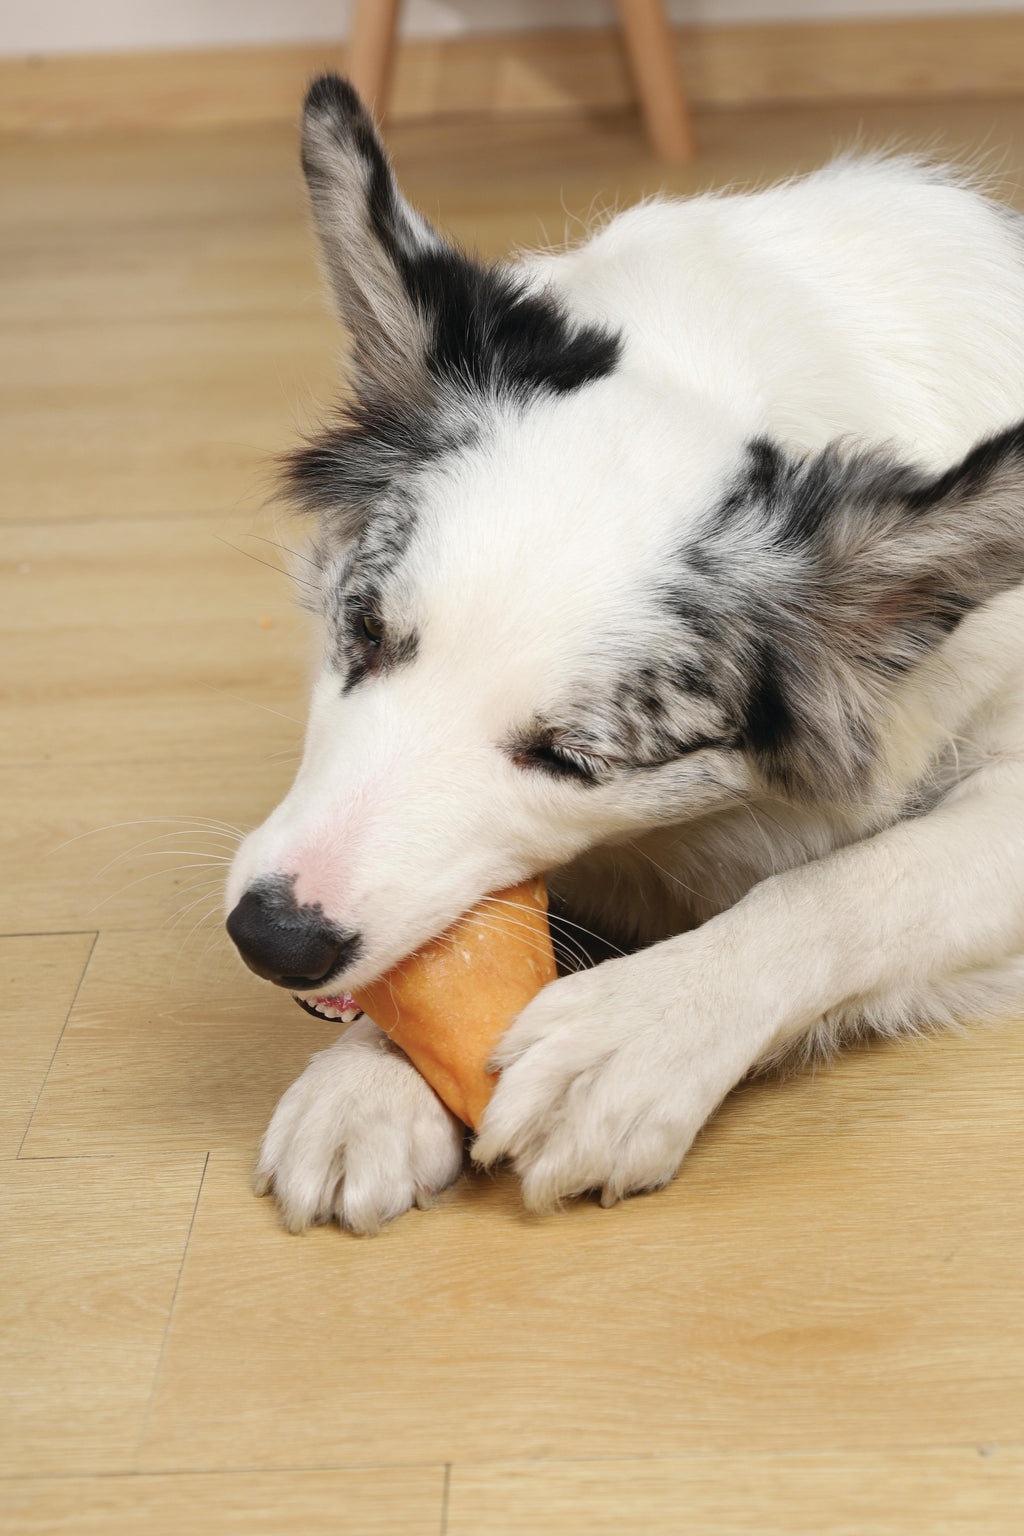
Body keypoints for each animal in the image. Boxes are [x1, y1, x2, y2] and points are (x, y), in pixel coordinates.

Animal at [225, 74, 1024, 1234]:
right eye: (365, 631)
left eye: (570, 759)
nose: (273, 939)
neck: (731, 364)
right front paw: (371, 1076)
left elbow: (850, 882)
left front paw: (639, 1032)